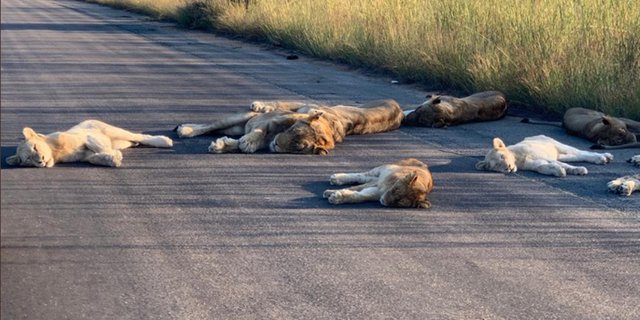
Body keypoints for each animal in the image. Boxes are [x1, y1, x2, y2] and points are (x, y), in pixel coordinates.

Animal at [4, 119, 172, 168]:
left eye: (35, 147)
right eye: (28, 159)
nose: (41, 161)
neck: (55, 153)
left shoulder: (86, 136)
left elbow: (96, 145)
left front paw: (113, 155)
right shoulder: (84, 156)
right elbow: (93, 159)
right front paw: (113, 158)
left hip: (112, 131)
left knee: (140, 136)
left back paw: (165, 141)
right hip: (121, 142)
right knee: (133, 141)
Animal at [478, 134, 612, 176]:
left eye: (502, 156)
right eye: (496, 166)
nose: (508, 168)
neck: (517, 159)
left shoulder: (542, 156)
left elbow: (564, 165)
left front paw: (578, 170)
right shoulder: (536, 164)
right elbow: (543, 167)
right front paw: (558, 171)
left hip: (558, 145)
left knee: (582, 152)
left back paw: (603, 157)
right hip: (561, 154)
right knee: (578, 157)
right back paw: (604, 158)